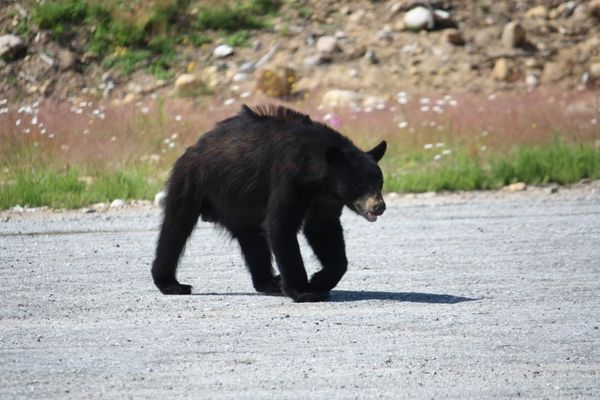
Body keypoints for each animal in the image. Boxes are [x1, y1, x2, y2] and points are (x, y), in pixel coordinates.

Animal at [152, 104, 386, 302]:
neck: (320, 178)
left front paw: (319, 280)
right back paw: (171, 284)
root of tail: (195, 146)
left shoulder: (326, 200)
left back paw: (269, 282)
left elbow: (324, 230)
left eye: (379, 182)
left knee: (253, 240)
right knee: (176, 227)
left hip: (240, 206)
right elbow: (281, 225)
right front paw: (303, 291)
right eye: (359, 184)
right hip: (192, 182)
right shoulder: (290, 178)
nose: (379, 207)